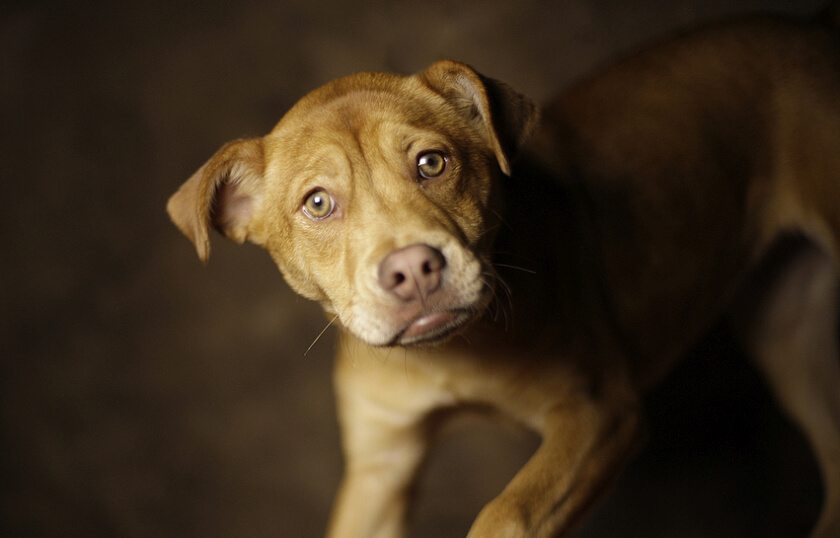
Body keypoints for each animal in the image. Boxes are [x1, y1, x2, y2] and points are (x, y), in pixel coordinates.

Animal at [166, 11, 840, 536]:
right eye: (317, 203)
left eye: (432, 163)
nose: (413, 270)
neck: (448, 356)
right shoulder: (381, 466)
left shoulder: (599, 413)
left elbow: (505, 514)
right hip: (791, 336)